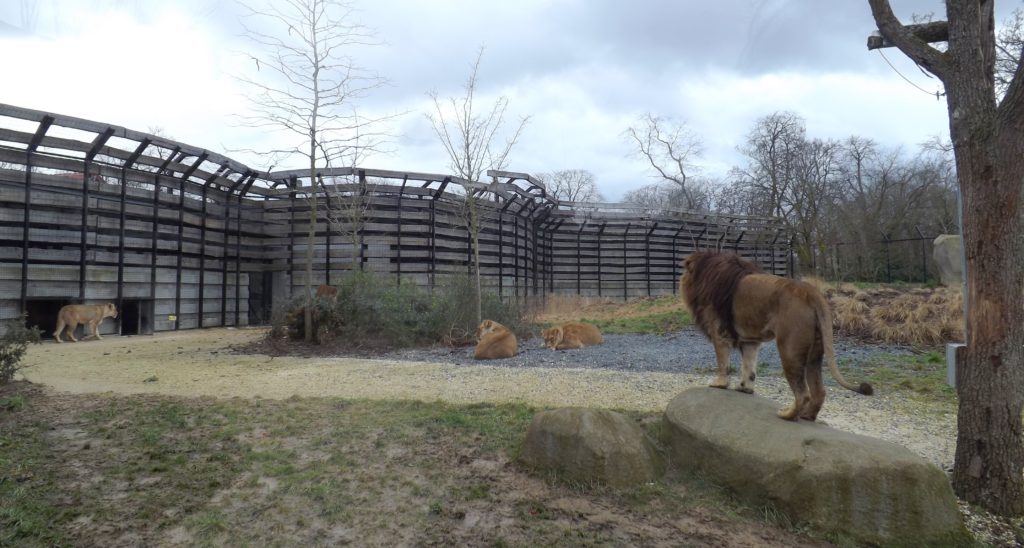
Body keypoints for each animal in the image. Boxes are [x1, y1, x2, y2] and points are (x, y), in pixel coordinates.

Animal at [681, 251, 872, 421]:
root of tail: (812, 293)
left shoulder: (719, 333)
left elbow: (723, 363)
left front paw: (719, 384)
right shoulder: (750, 341)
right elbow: (749, 366)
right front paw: (745, 388)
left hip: (789, 349)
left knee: (803, 394)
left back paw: (787, 415)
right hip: (815, 353)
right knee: (819, 391)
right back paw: (807, 416)